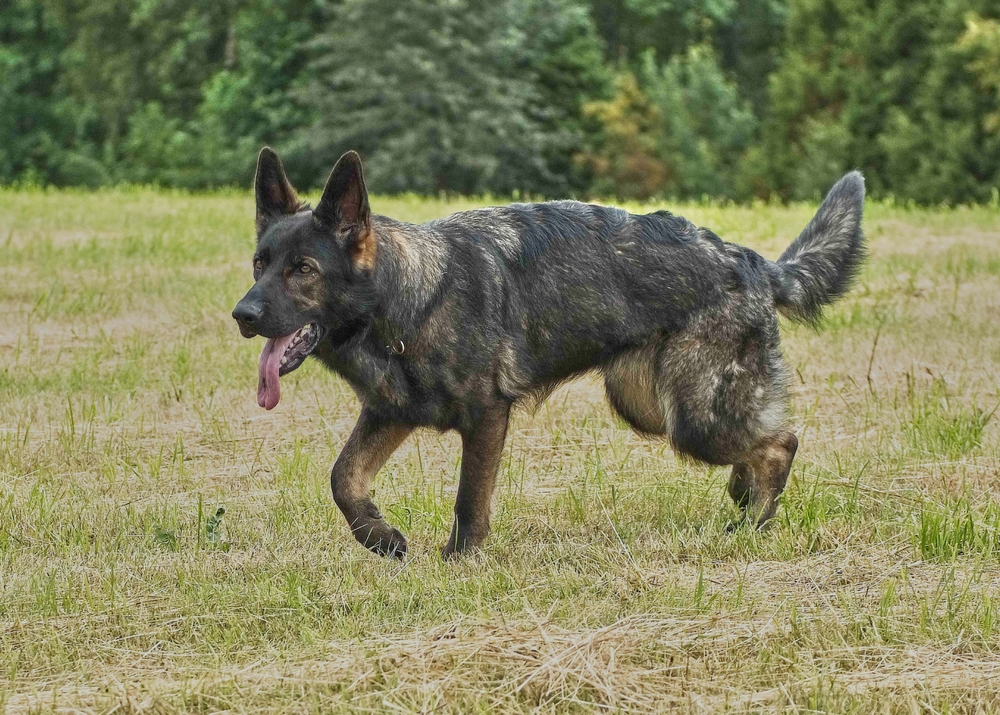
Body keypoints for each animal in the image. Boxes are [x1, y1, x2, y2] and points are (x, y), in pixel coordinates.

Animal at [230, 147, 864, 560]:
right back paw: (742, 494)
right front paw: (380, 538)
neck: (405, 297)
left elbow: (469, 499)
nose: (243, 315)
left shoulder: (486, 417)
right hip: (647, 404)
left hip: (693, 418)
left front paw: (458, 562)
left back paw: (755, 521)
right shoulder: (391, 413)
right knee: (758, 439)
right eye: (260, 263)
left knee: (781, 441)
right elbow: (344, 478)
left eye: (303, 269)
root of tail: (752, 262)